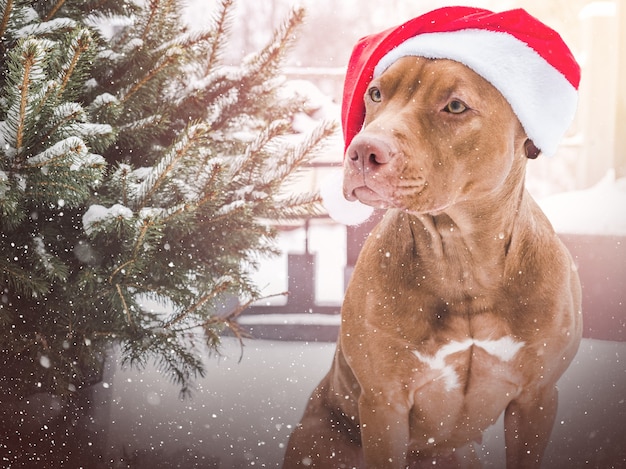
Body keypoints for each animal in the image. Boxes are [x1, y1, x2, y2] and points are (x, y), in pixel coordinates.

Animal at [282, 54, 580, 468]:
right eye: (376, 93)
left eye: (455, 106)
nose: (362, 152)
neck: (462, 259)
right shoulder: (384, 405)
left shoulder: (536, 399)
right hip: (320, 441)